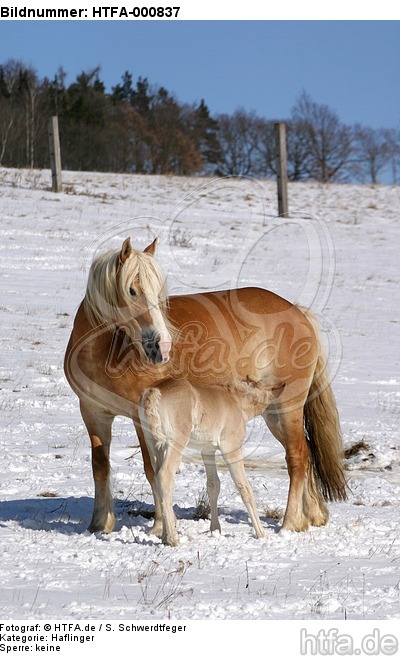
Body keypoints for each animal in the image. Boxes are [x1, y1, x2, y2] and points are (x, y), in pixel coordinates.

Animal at [139, 379, 272, 545]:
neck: (236, 400)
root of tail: (154, 391)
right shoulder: (231, 449)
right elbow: (244, 488)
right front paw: (261, 533)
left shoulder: (208, 451)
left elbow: (213, 485)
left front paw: (215, 529)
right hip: (175, 445)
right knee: (165, 477)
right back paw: (173, 539)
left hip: (154, 446)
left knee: (156, 479)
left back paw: (164, 536)